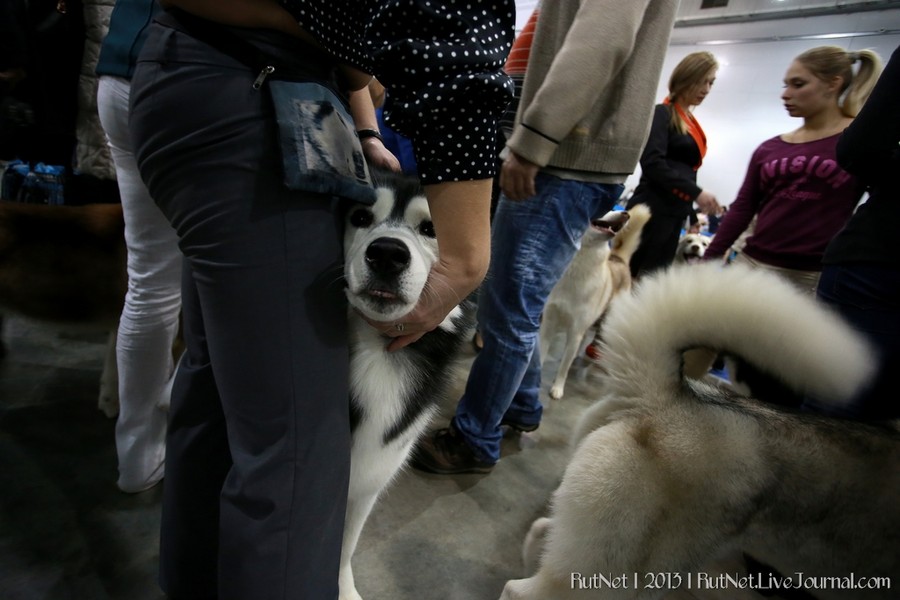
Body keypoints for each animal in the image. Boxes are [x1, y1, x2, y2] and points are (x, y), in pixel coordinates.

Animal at [340, 169, 478, 600]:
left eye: (430, 228)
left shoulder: (366, 483)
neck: (378, 357)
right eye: (360, 217)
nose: (387, 253)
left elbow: (345, 547)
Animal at [536, 204, 652, 400]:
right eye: (611, 208)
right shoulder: (548, 323)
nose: (626, 214)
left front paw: (558, 388)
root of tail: (619, 259)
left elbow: (564, 367)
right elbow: (542, 355)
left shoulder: (575, 330)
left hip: (608, 320)